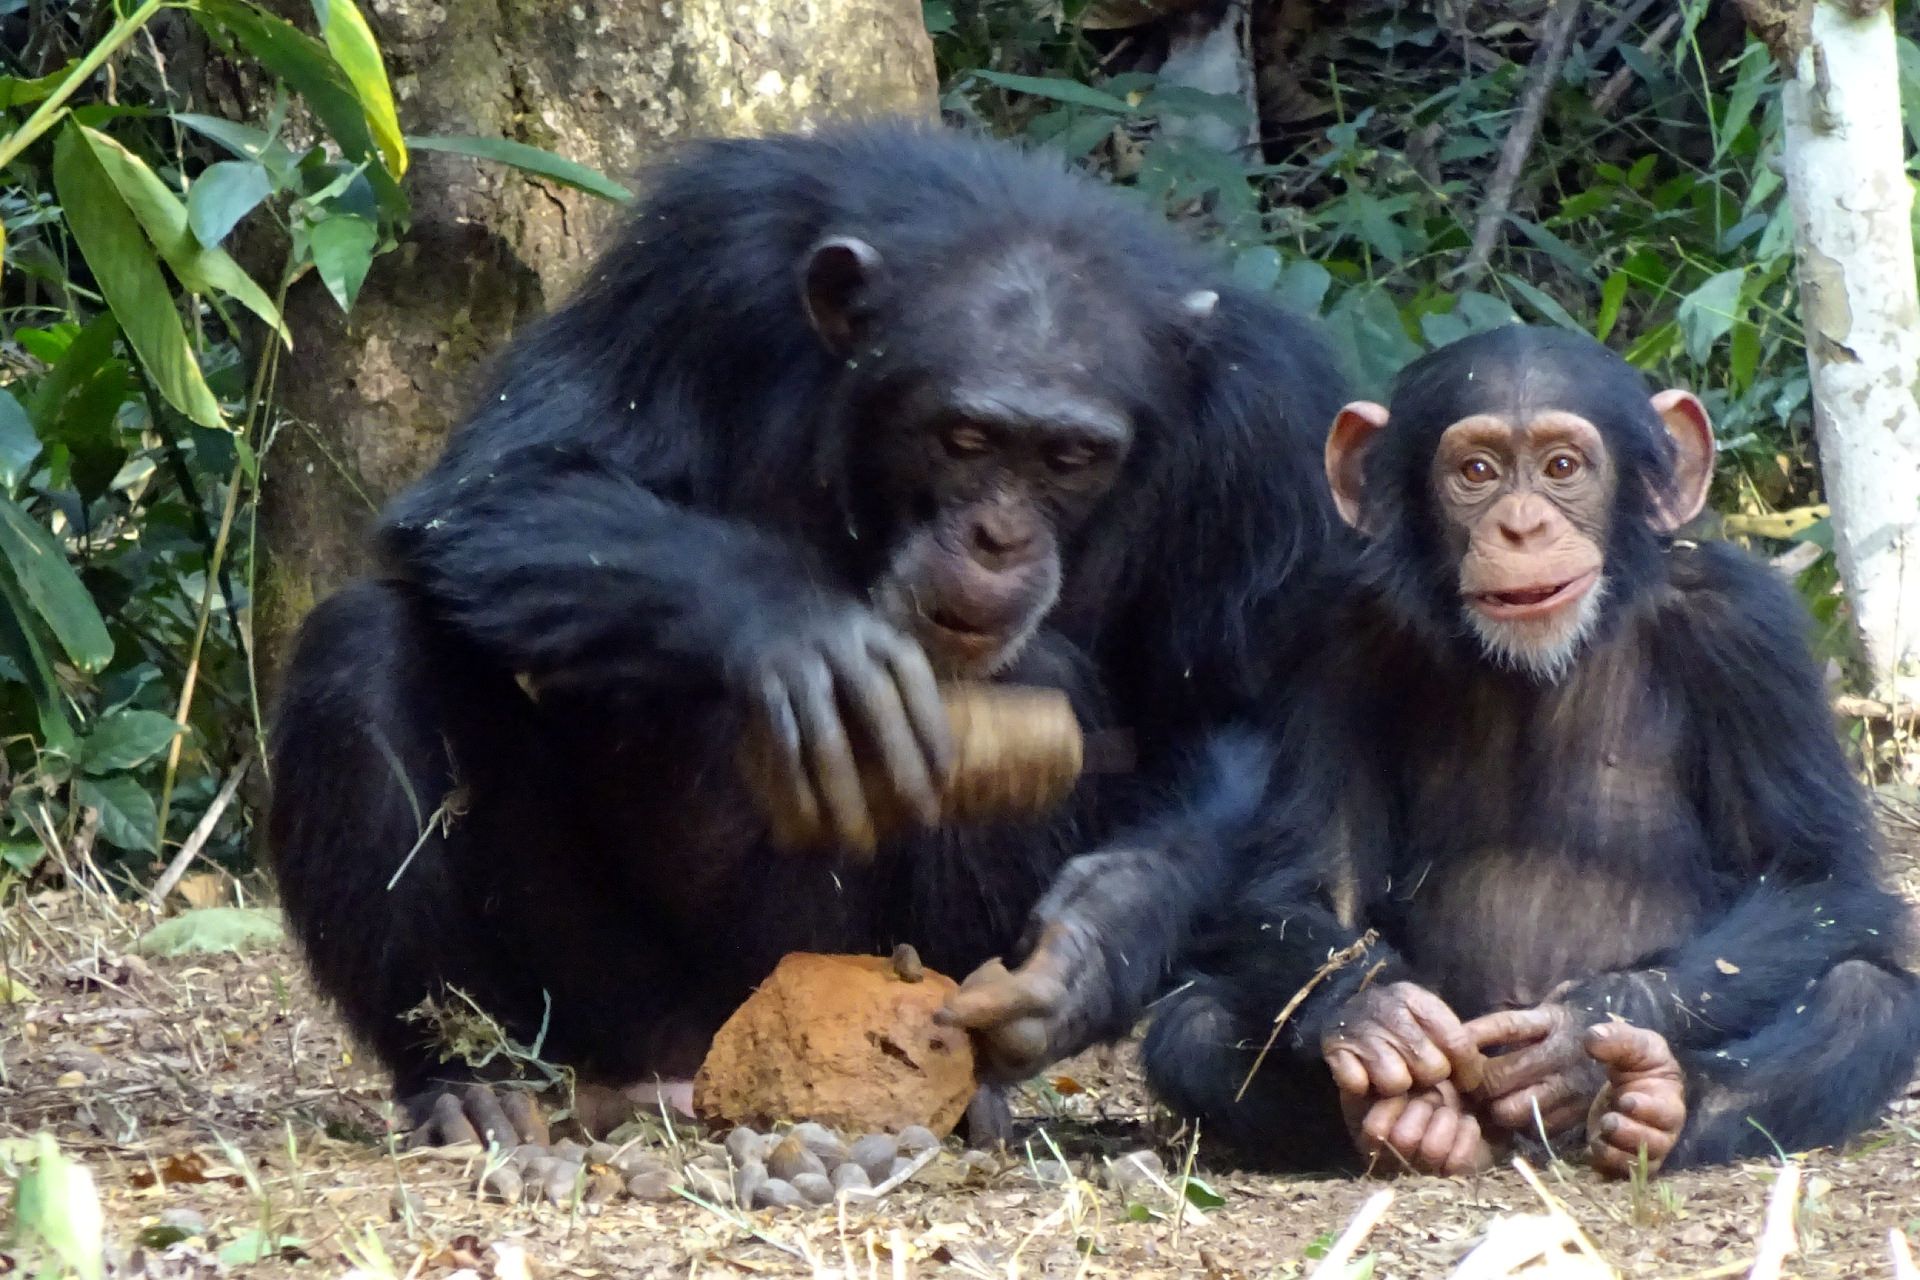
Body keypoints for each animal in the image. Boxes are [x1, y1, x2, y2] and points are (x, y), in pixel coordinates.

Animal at [270, 119, 1351, 1143]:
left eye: (1070, 457)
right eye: (965, 438)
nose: (997, 538)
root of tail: (702, 1063)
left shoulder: (1263, 421)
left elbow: (1238, 711)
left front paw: (1095, 941)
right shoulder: (698, 261)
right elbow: (507, 481)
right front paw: (799, 634)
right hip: (601, 1001)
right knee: (363, 647)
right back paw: (468, 1081)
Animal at [1144, 322, 1912, 1182]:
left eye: (1562, 467)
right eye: (1476, 472)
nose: (1521, 526)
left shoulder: (1749, 628)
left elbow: (1816, 875)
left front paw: (1581, 1031)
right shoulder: (1333, 634)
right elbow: (1310, 880)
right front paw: (1377, 1009)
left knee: (1865, 998)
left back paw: (1654, 1103)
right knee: (1193, 1024)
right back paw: (1407, 1124)